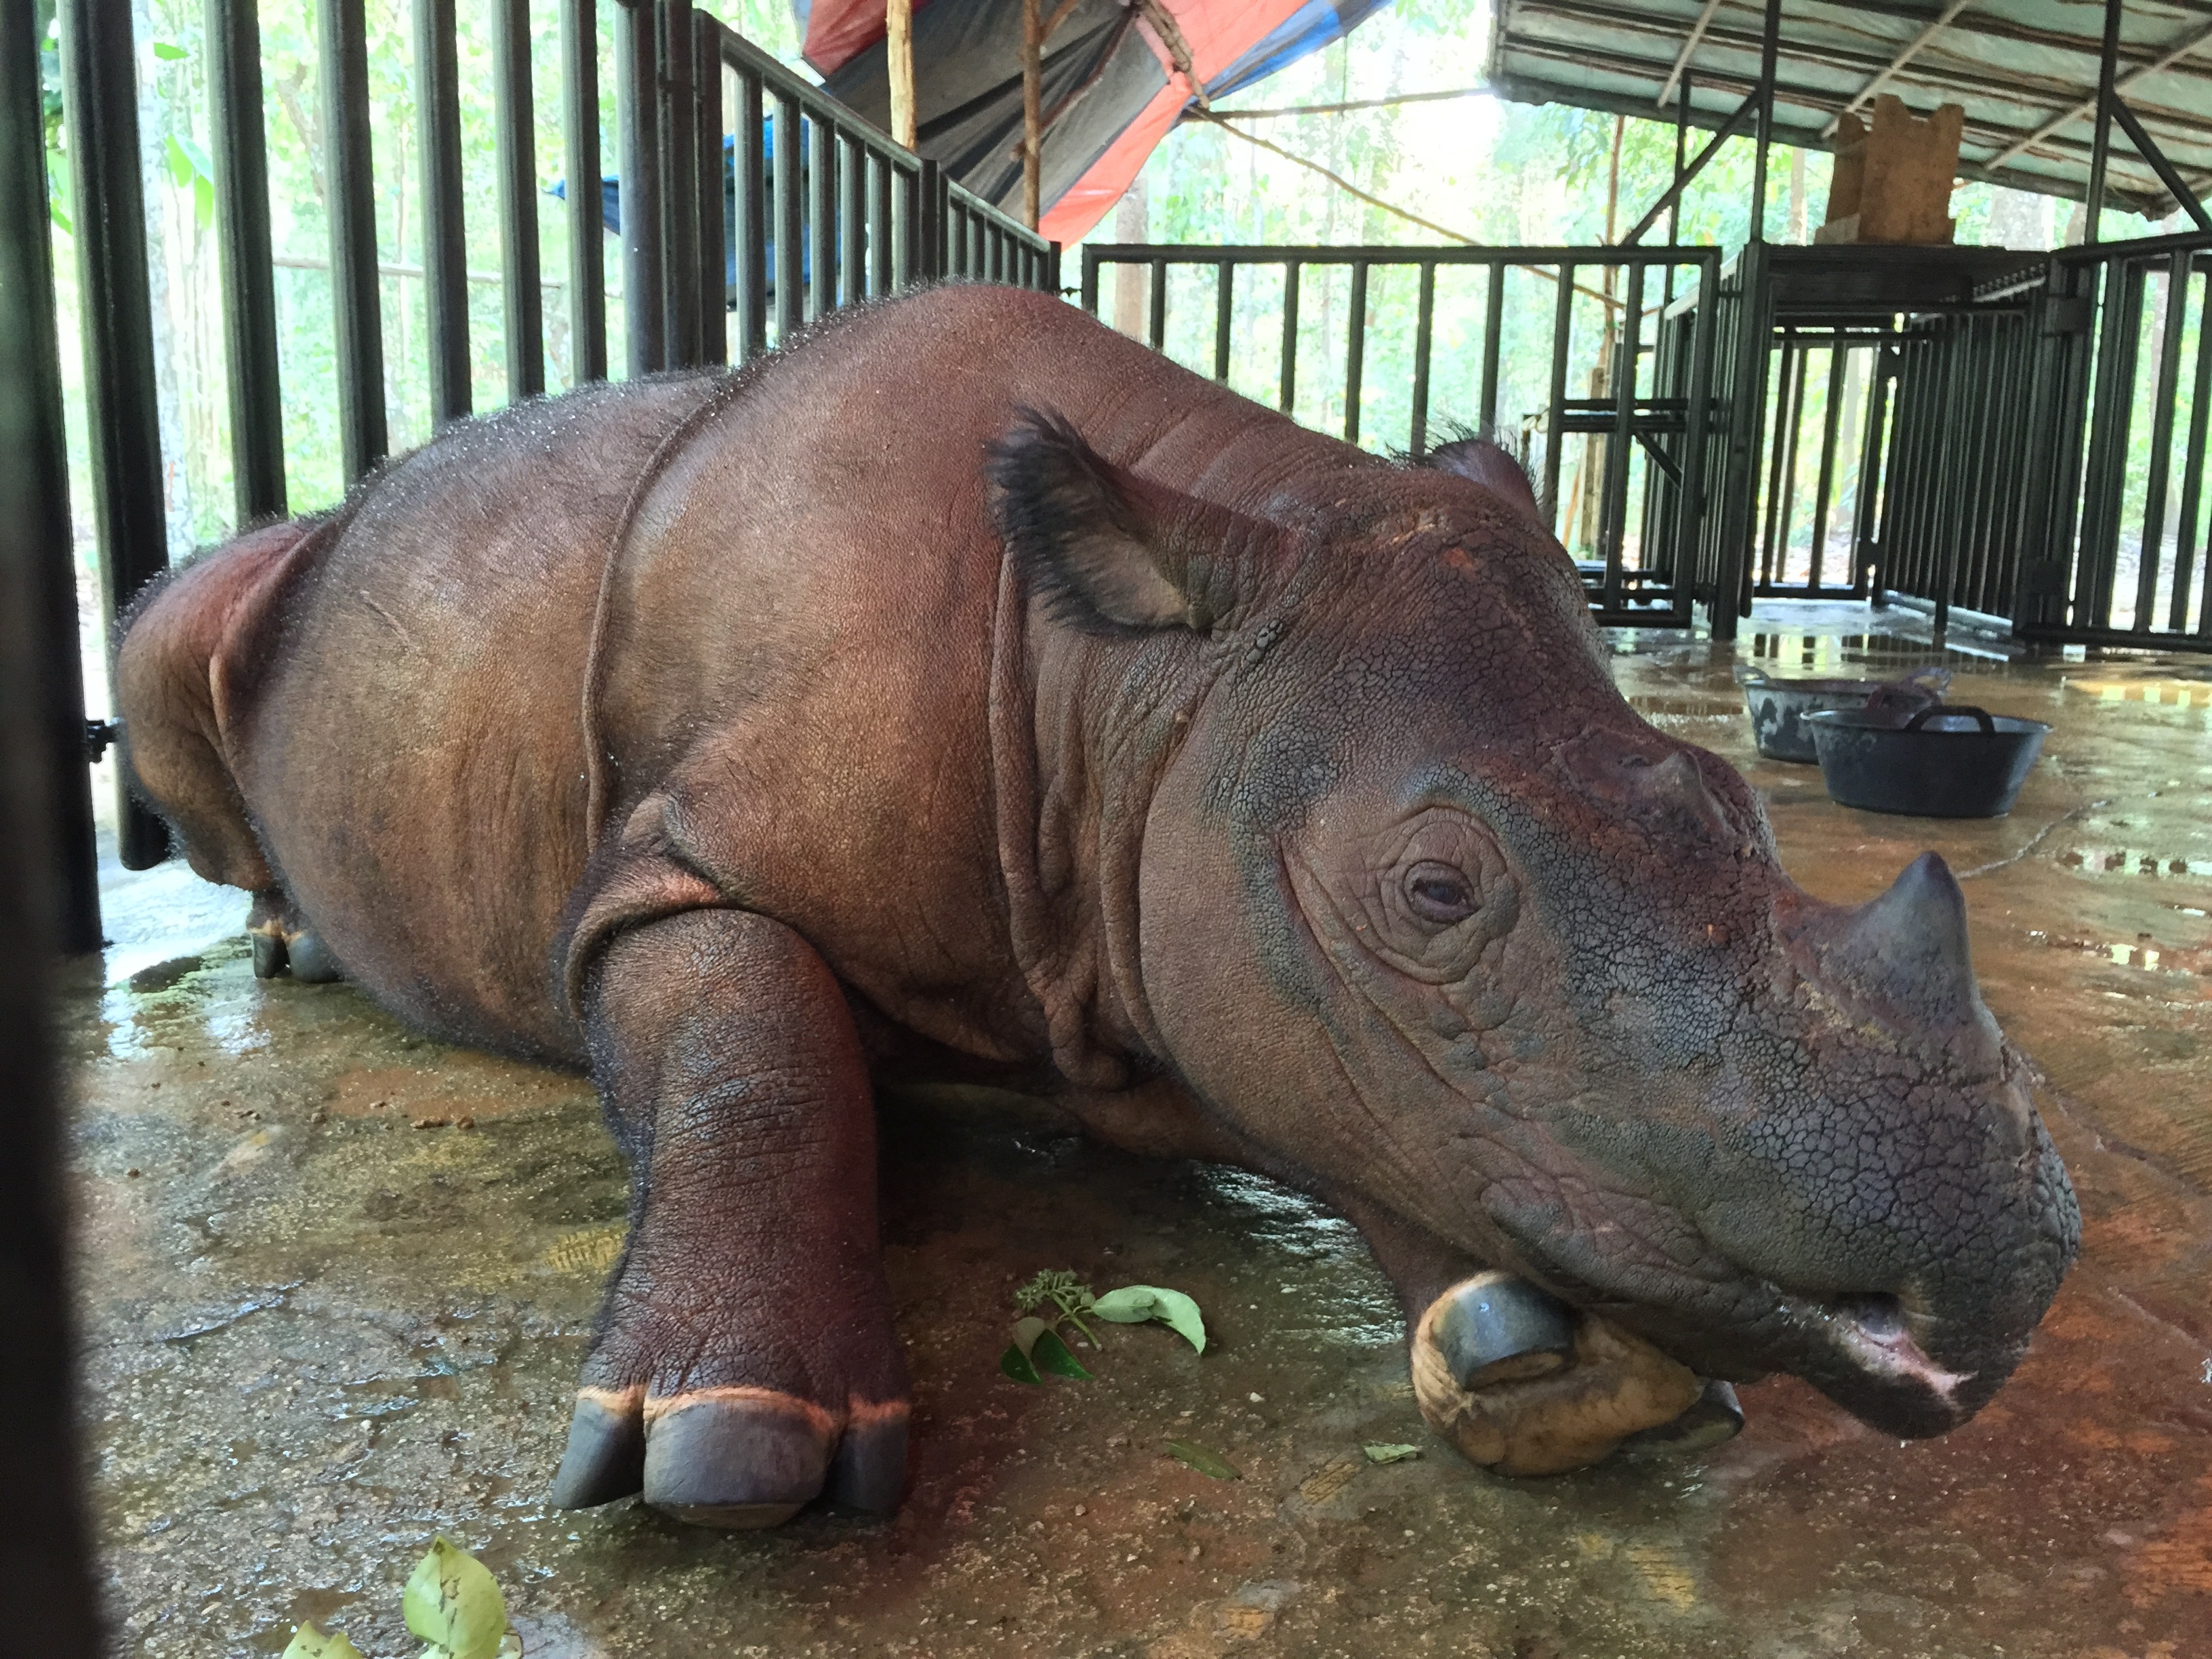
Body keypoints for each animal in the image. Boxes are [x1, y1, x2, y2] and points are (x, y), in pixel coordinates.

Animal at [116, 285, 2078, 1526]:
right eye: (1433, 891)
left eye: (1738, 805)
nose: (2003, 1260)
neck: (1113, 691)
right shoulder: (671, 869)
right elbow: (754, 1043)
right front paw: (729, 1448)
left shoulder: (1189, 953)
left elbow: (1368, 1115)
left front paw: (1549, 1364)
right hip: (253, 599)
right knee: (174, 637)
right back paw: (289, 938)